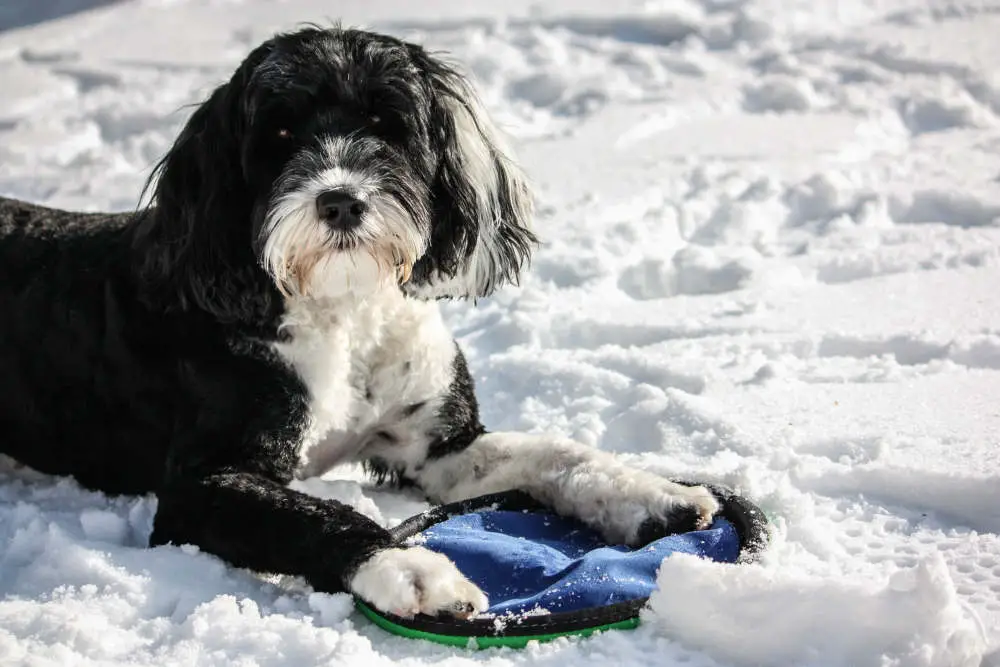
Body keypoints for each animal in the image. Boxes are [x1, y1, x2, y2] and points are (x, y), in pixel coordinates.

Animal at [0, 26, 720, 620]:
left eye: (388, 123)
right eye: (279, 136)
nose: (341, 200)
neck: (344, 311)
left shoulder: (438, 446)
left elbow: (556, 453)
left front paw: (654, 493)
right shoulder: (200, 484)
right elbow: (314, 513)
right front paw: (408, 567)